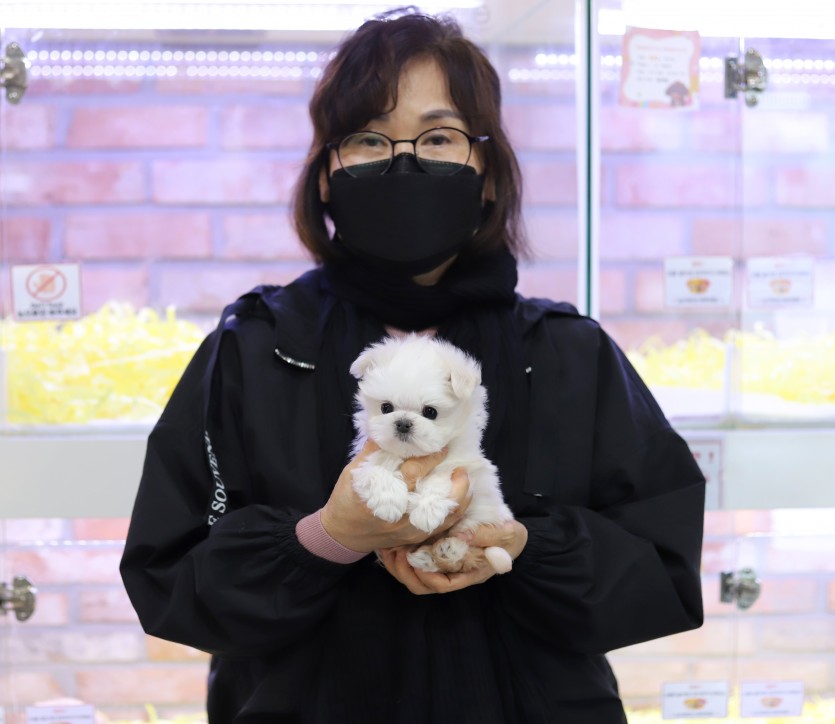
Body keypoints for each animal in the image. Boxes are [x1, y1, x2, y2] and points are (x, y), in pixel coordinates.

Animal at [349, 334, 514, 574]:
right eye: (386, 408)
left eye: (430, 412)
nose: (403, 423)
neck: (412, 455)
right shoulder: (368, 454)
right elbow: (377, 467)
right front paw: (388, 501)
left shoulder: (462, 464)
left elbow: (440, 476)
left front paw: (426, 511)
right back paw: (425, 557)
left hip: (480, 514)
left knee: (466, 545)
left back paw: (448, 550)